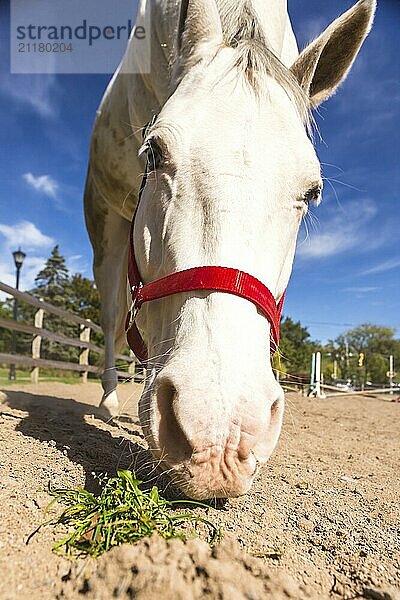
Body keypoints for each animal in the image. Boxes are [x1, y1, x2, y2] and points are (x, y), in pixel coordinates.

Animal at [84, 0, 376, 500]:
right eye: (153, 152)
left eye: (313, 192)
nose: (220, 437)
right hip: (106, 227)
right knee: (111, 315)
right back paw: (108, 401)